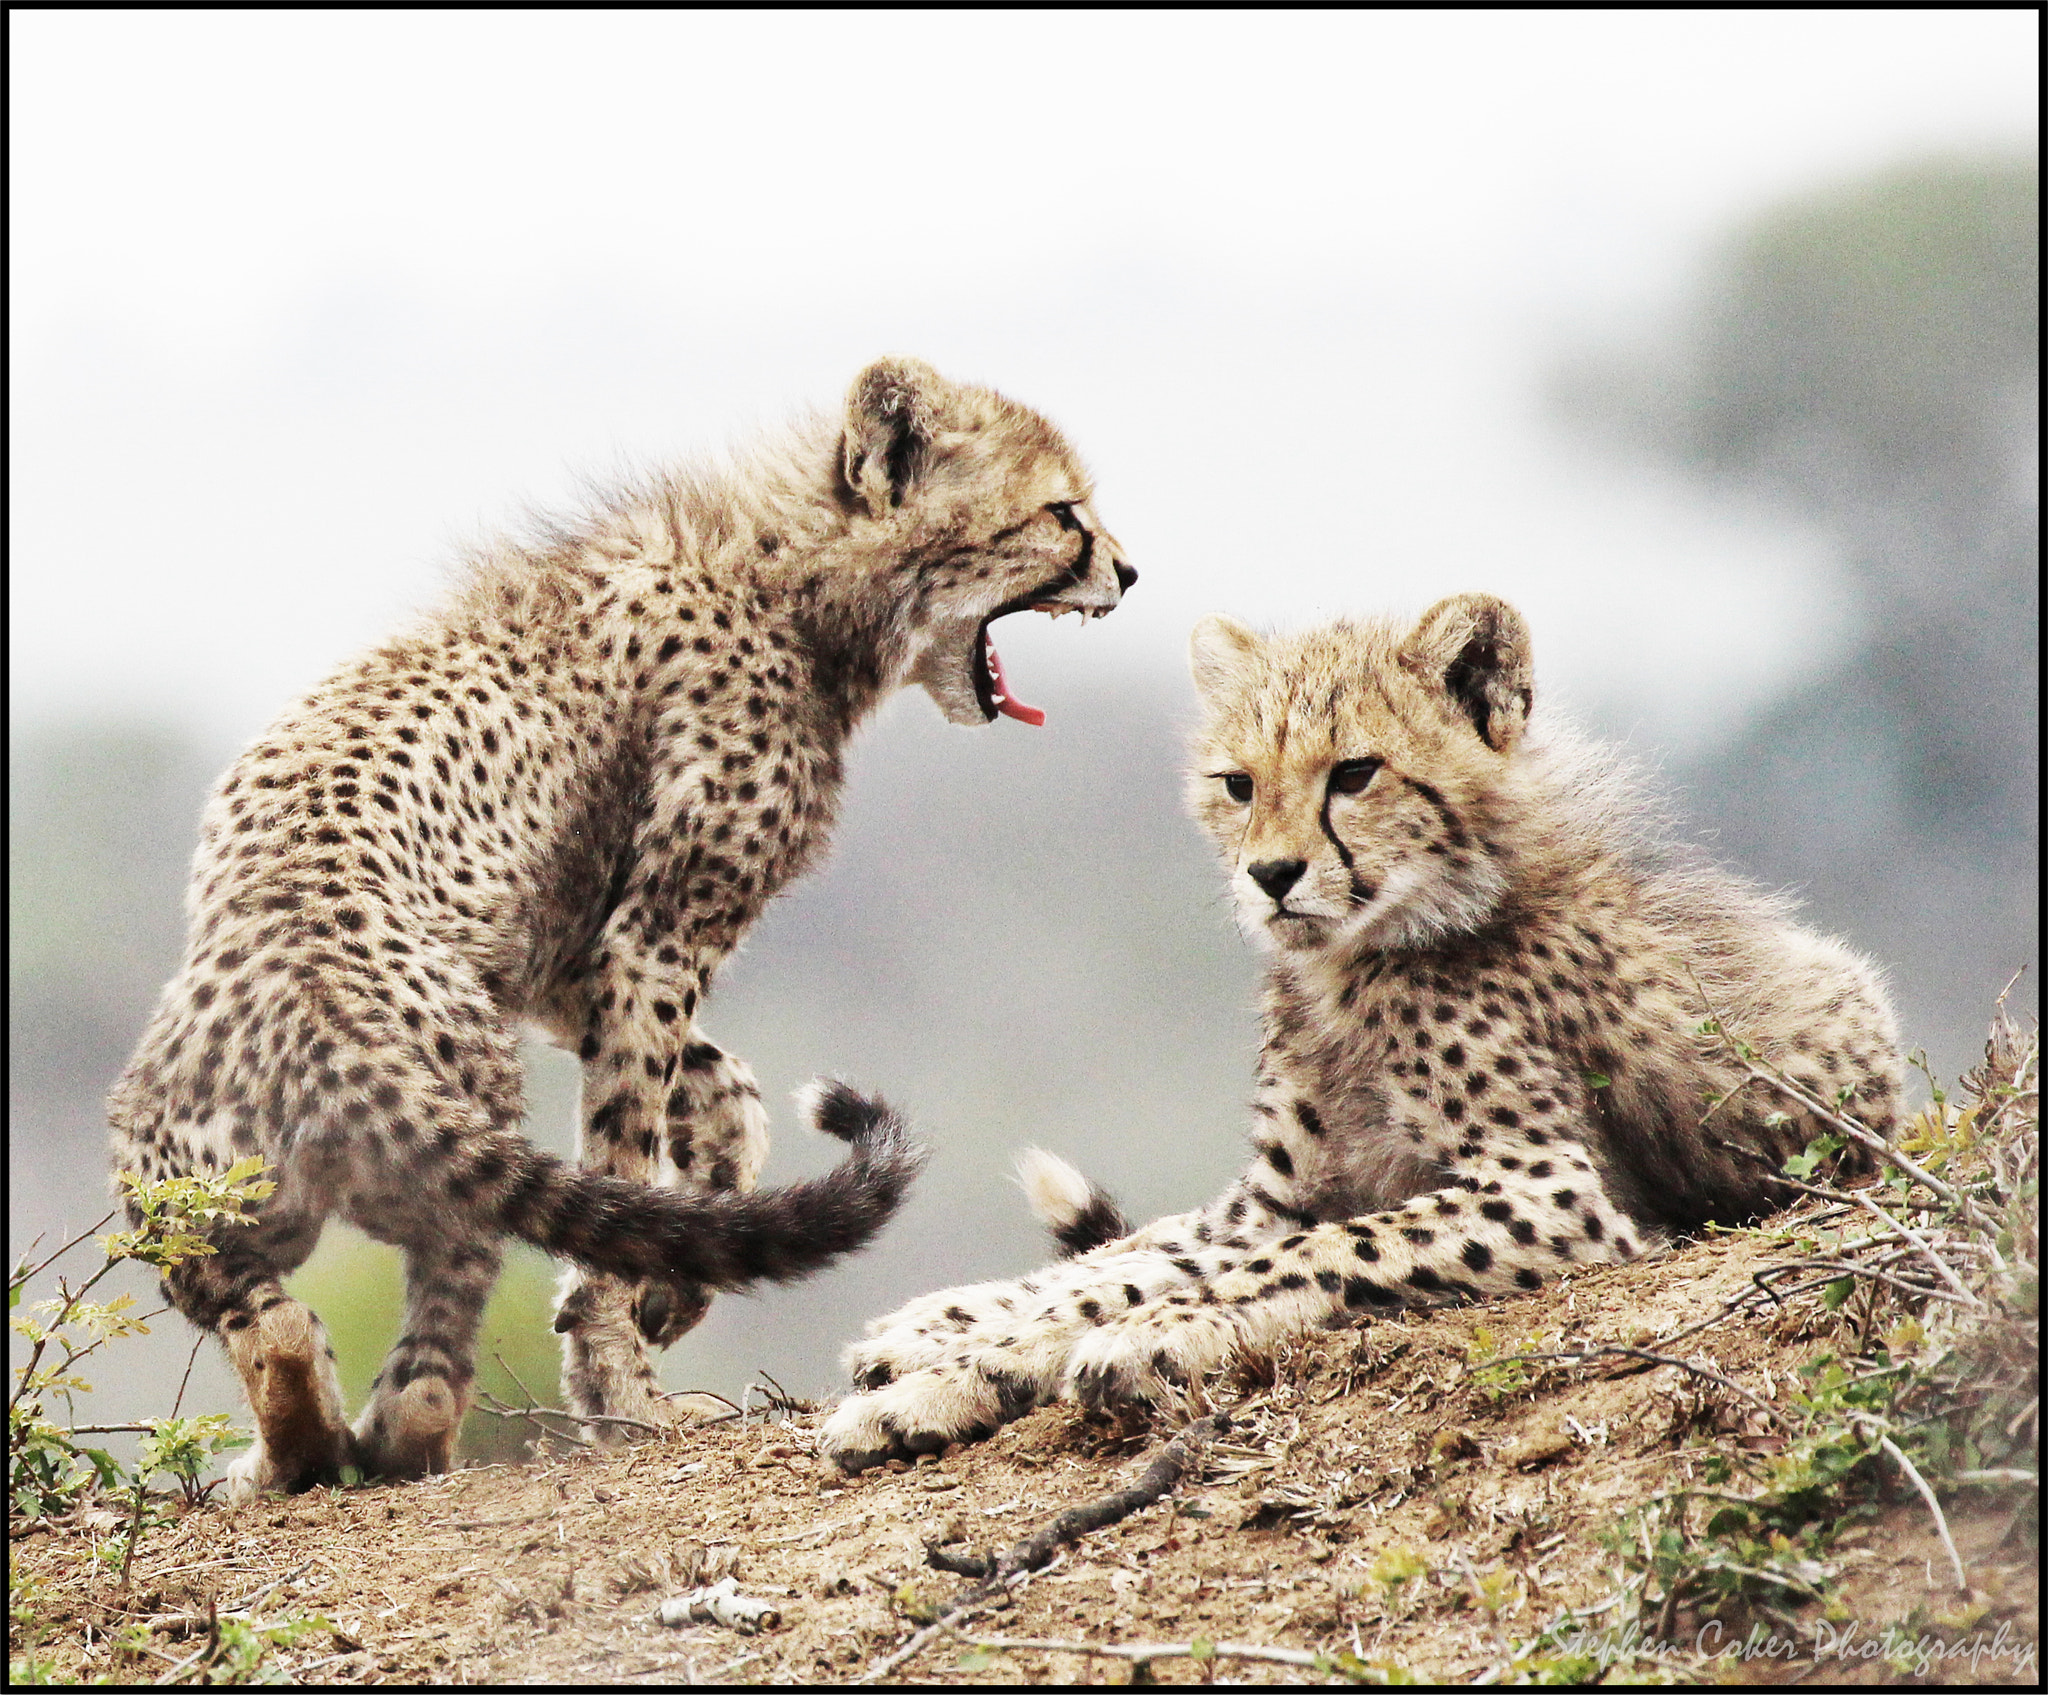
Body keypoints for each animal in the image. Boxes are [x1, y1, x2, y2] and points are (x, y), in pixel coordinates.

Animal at [106, 356, 1135, 1498]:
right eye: (1061, 514)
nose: (1130, 573)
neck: (791, 577)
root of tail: (312, 1003)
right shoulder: (653, 936)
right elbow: (627, 1154)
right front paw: (629, 1372)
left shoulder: (570, 957)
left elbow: (722, 1092)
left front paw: (685, 1257)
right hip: (444, 1152)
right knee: (426, 1360)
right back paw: (414, 1436)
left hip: (181, 1201)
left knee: (278, 1321)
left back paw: (292, 1451)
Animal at [821, 591, 1900, 1471]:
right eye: (1238, 784)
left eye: (1354, 774)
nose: (1270, 876)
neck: (1361, 959)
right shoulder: (1275, 1197)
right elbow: (1139, 1264)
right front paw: (956, 1351)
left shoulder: (1553, 1195)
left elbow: (1296, 1257)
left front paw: (1130, 1337)